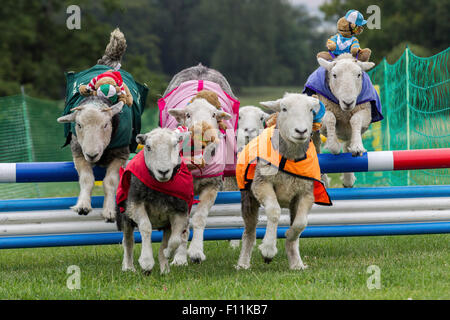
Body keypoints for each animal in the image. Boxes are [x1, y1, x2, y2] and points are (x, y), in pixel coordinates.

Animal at [57, 28, 140, 221]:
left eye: (106, 125)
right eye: (78, 125)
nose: (92, 154)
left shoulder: (121, 154)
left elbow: (111, 182)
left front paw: (109, 212)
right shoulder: (78, 151)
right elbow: (87, 179)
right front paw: (83, 206)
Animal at [115, 128, 191, 276]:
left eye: (175, 144)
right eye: (148, 147)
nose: (163, 171)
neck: (160, 188)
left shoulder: (180, 211)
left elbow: (175, 240)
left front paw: (167, 253)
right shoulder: (135, 205)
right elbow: (146, 227)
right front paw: (146, 262)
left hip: (166, 224)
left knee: (165, 241)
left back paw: (164, 269)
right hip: (125, 216)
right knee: (128, 241)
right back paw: (128, 267)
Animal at [236, 92, 330, 270]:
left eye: (311, 110)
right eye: (284, 109)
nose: (301, 131)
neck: (291, 158)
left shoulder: (306, 192)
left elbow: (300, 224)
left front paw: (289, 236)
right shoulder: (262, 184)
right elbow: (274, 211)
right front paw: (268, 249)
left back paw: (296, 263)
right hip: (249, 198)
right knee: (249, 232)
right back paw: (243, 263)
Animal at [306, 53, 380, 188]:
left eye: (359, 74)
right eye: (334, 75)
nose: (348, 102)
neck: (344, 112)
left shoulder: (366, 114)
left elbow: (355, 119)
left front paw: (357, 147)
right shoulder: (324, 112)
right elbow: (331, 118)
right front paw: (334, 145)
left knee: (347, 146)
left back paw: (348, 180)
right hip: (314, 129)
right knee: (317, 147)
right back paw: (323, 179)